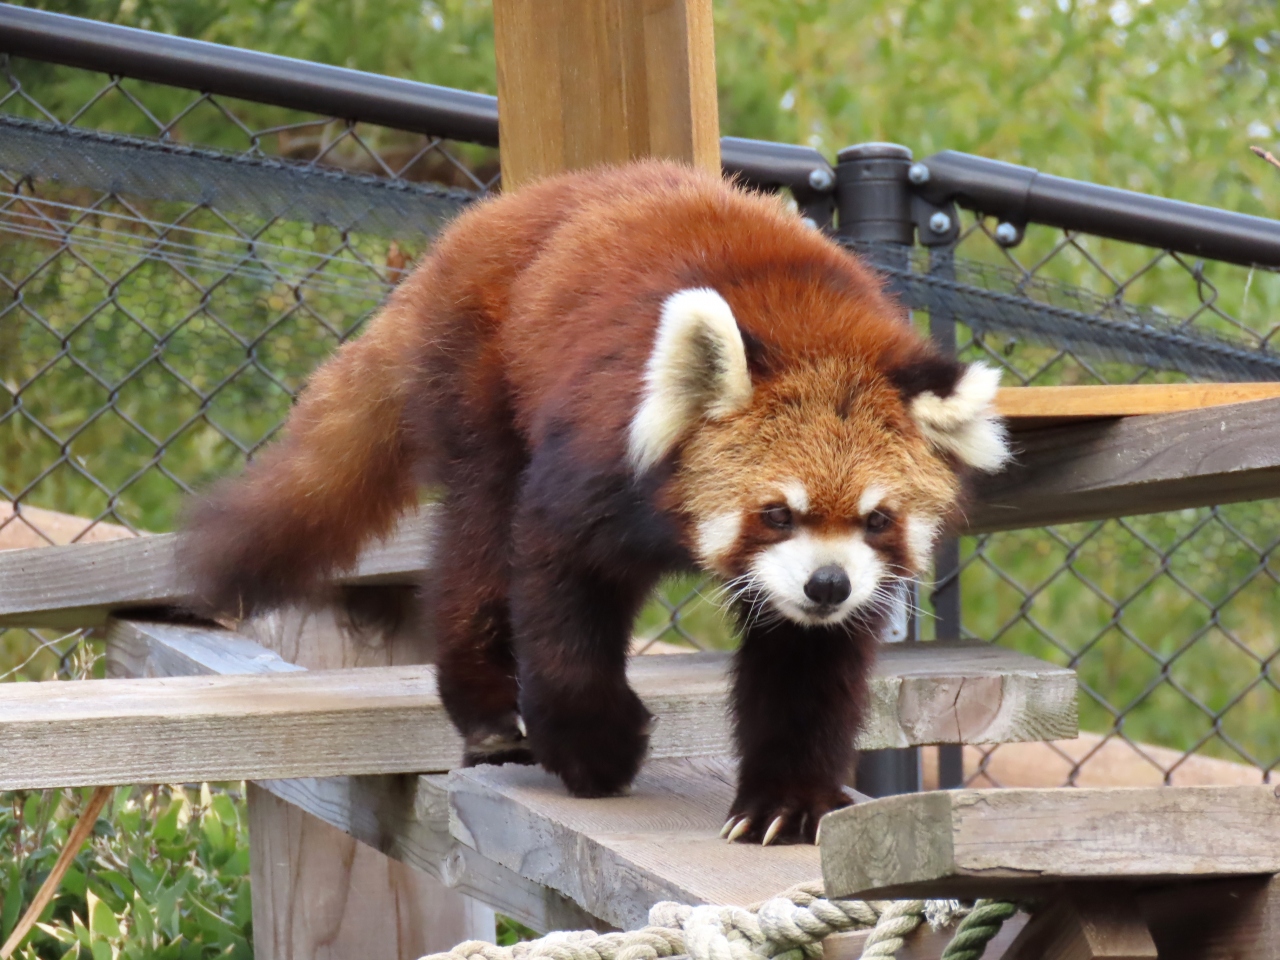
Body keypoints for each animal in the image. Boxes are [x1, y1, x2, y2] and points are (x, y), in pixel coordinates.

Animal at [185, 161, 1008, 844]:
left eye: (877, 519)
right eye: (777, 511)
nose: (827, 584)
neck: (812, 322)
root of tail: (485, 221)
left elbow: (806, 666)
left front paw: (786, 801)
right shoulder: (595, 463)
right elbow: (561, 593)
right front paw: (595, 748)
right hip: (485, 381)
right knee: (479, 539)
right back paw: (490, 714)